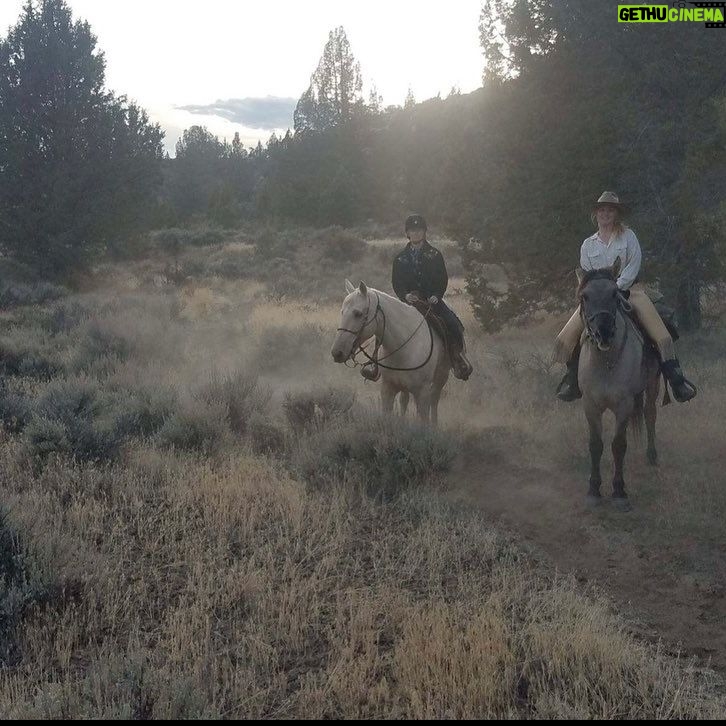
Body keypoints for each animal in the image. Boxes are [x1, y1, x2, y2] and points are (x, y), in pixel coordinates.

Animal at [332, 280, 452, 426]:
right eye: (342, 312)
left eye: (358, 313)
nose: (337, 352)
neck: (404, 346)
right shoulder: (387, 390)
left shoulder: (422, 393)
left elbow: (425, 417)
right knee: (404, 400)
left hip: (441, 378)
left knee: (434, 400)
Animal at [576, 260, 664, 512]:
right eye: (584, 296)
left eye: (615, 294)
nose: (603, 333)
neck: (605, 362)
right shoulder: (590, 405)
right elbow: (596, 444)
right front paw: (593, 491)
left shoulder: (624, 405)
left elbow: (618, 445)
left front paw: (619, 492)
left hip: (652, 383)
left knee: (650, 414)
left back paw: (651, 455)